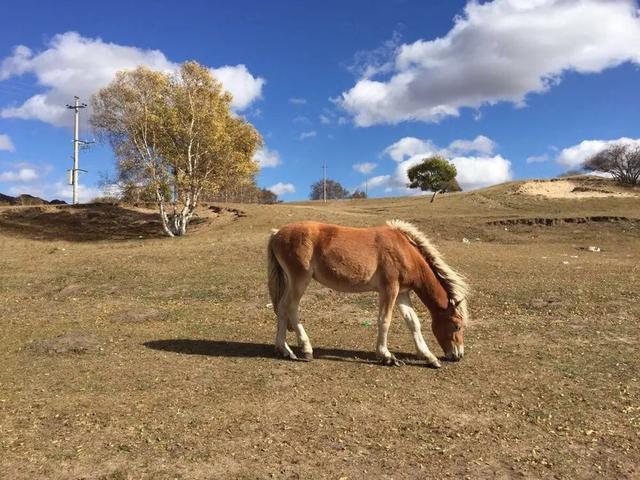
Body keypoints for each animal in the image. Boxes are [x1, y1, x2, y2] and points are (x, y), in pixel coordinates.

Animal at [264, 219, 470, 370]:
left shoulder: (402, 293)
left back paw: (284, 350)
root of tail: (277, 233)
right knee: (291, 308)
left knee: (281, 308)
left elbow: (413, 323)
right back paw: (305, 349)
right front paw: (386, 356)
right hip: (300, 280)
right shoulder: (389, 289)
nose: (458, 355)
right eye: (457, 326)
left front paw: (429, 357)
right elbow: (384, 321)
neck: (403, 250)